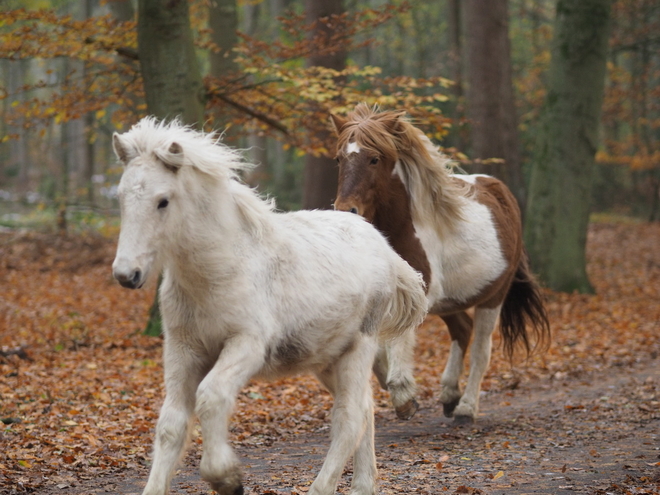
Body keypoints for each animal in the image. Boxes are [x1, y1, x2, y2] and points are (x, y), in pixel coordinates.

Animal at [110, 119, 426, 495]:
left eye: (163, 201)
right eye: (121, 198)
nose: (127, 274)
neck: (219, 270)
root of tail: (384, 248)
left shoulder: (247, 344)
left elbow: (211, 397)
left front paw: (227, 478)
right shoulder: (182, 349)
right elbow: (171, 425)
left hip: (359, 347)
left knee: (349, 418)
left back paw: (320, 488)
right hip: (326, 359)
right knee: (364, 409)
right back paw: (363, 486)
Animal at [330, 102, 552, 424]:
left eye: (374, 159)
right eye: (339, 159)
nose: (345, 210)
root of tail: (502, 192)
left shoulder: (418, 294)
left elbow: (398, 341)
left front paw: (404, 397)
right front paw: (392, 383)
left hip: (493, 297)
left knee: (481, 350)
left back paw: (466, 408)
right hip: (450, 302)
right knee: (462, 330)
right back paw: (449, 395)